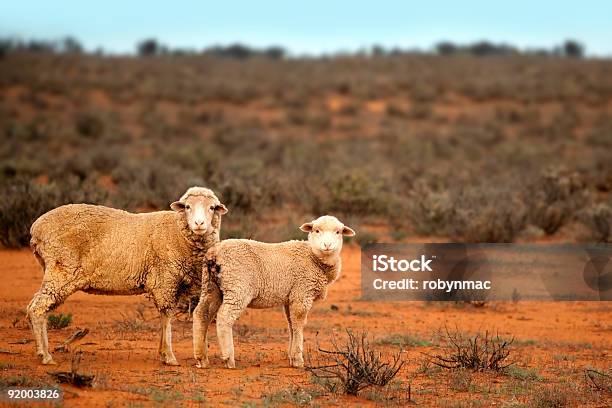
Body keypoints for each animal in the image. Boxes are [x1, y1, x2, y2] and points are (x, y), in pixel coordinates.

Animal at [26, 186, 227, 364]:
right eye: (187, 207)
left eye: (211, 207)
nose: (199, 224)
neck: (177, 231)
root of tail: (36, 228)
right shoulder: (166, 280)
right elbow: (167, 316)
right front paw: (169, 356)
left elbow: (164, 318)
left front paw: (162, 353)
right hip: (61, 271)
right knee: (37, 308)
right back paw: (46, 356)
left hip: (54, 271)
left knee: (36, 308)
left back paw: (41, 351)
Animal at [194, 215, 356, 368]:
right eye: (316, 230)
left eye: (338, 232)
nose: (327, 245)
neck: (313, 258)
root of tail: (215, 253)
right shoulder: (302, 294)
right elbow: (298, 324)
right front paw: (298, 359)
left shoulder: (290, 298)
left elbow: (291, 325)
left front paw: (291, 357)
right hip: (237, 287)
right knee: (224, 317)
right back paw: (228, 358)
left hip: (211, 286)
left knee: (201, 314)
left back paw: (202, 358)